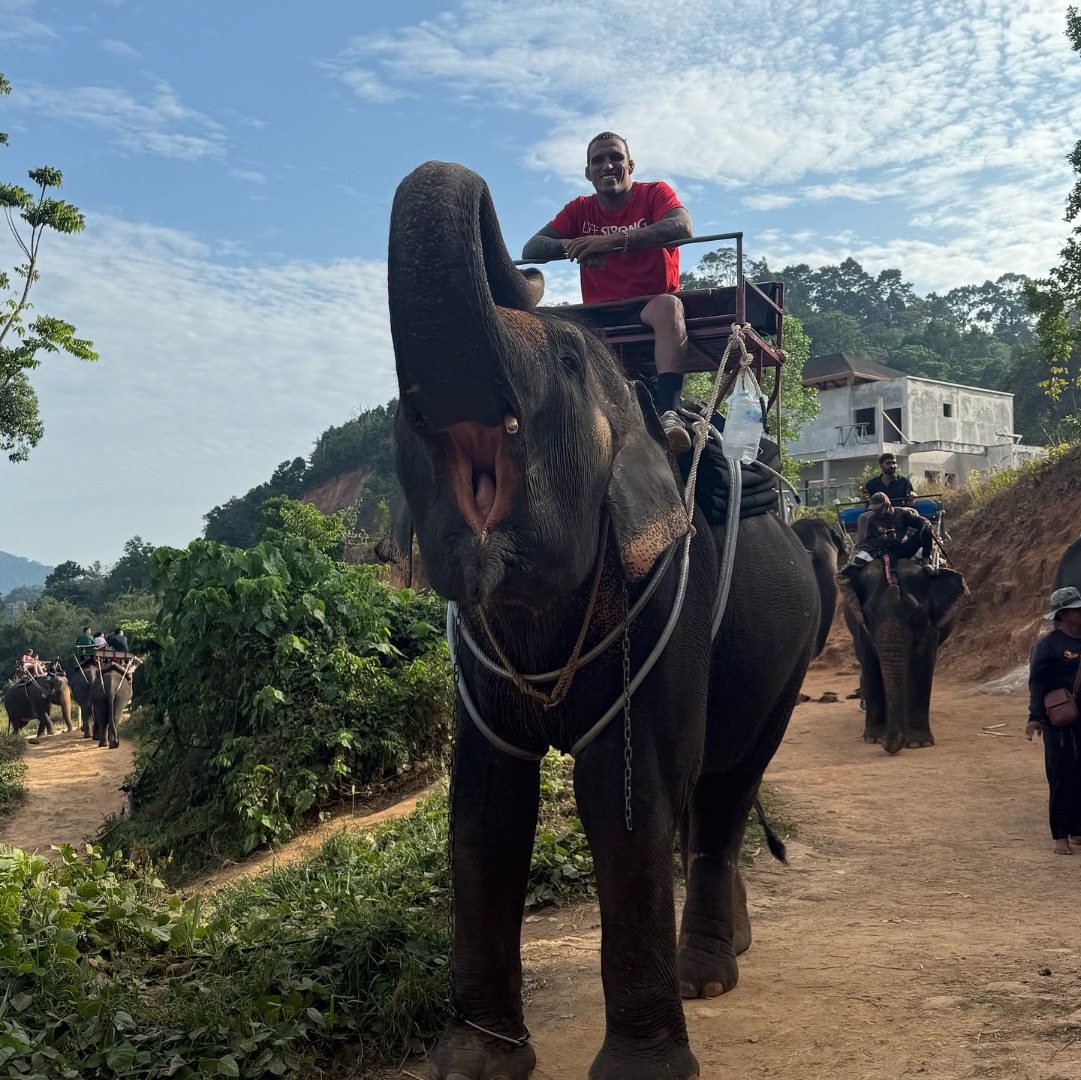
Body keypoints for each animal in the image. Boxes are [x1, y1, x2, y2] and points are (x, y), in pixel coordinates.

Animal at [386, 160, 820, 1080]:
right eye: (398, 398)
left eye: (561, 360)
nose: (526, 270)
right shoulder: (475, 649)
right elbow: (485, 805)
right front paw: (475, 1064)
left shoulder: (668, 592)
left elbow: (624, 795)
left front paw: (640, 1072)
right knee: (704, 792)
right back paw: (730, 946)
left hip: (794, 656)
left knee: (725, 787)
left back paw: (706, 974)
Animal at [842, 559, 967, 753]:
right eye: (869, 613)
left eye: (916, 614)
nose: (888, 743)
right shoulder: (860, 624)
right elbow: (870, 662)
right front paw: (874, 738)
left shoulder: (930, 625)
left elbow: (921, 665)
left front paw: (918, 743)